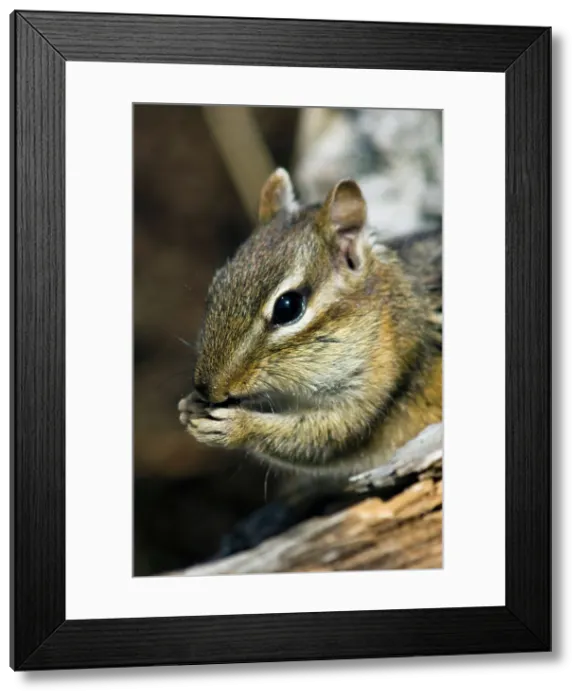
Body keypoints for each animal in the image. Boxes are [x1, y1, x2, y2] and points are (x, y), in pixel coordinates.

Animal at [178, 168, 442, 480]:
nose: (206, 389)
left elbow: (322, 441)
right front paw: (189, 406)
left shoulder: (381, 383)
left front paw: (237, 426)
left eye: (288, 307)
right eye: (216, 285)